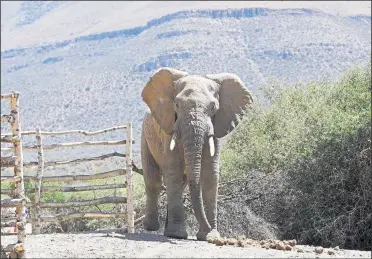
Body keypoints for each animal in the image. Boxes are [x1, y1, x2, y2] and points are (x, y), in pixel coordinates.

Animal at [140, 67, 253, 242]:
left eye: (213, 107)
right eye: (177, 105)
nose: (207, 231)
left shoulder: (216, 128)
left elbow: (210, 174)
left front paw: (210, 235)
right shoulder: (168, 127)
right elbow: (173, 170)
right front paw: (178, 235)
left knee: (180, 184)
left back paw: (166, 230)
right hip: (145, 135)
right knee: (154, 181)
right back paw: (151, 227)